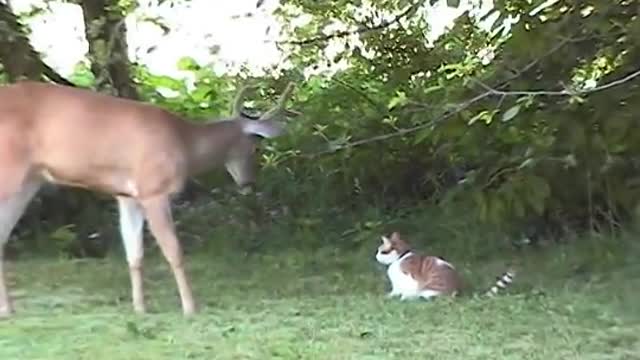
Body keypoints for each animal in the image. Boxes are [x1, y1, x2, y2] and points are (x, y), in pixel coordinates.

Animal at [0, 80, 298, 316]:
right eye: (254, 147)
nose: (249, 182)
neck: (185, 143)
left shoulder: (127, 195)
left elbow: (135, 254)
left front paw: (140, 308)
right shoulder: (154, 190)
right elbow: (174, 250)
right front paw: (190, 307)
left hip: (29, 182)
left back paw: (9, 309)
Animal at [376, 232, 516, 300]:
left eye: (381, 251)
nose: (376, 256)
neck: (400, 258)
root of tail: (461, 291)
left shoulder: (410, 280)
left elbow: (407, 292)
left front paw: (403, 298)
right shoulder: (397, 286)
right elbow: (394, 292)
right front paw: (389, 297)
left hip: (429, 288)